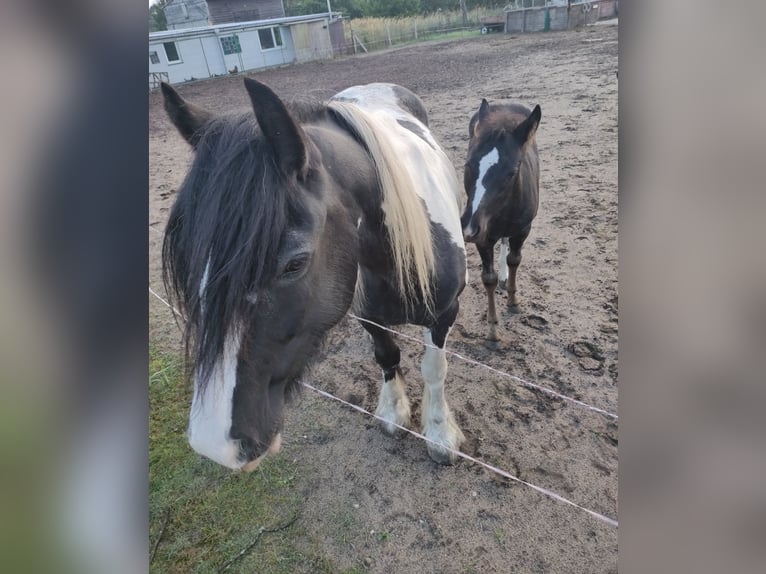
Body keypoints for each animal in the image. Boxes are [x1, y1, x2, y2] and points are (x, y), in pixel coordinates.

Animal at [160, 79, 467, 471]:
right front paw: (393, 412)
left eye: (295, 263)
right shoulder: (368, 316)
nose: (214, 444)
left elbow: (434, 370)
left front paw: (440, 433)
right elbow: (386, 356)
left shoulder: (444, 314)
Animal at [461, 99, 541, 342]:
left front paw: (513, 301)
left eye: (511, 173)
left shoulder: (523, 229)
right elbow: (489, 278)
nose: (468, 228)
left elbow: (515, 259)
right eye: (468, 166)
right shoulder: (483, 237)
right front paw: (492, 328)